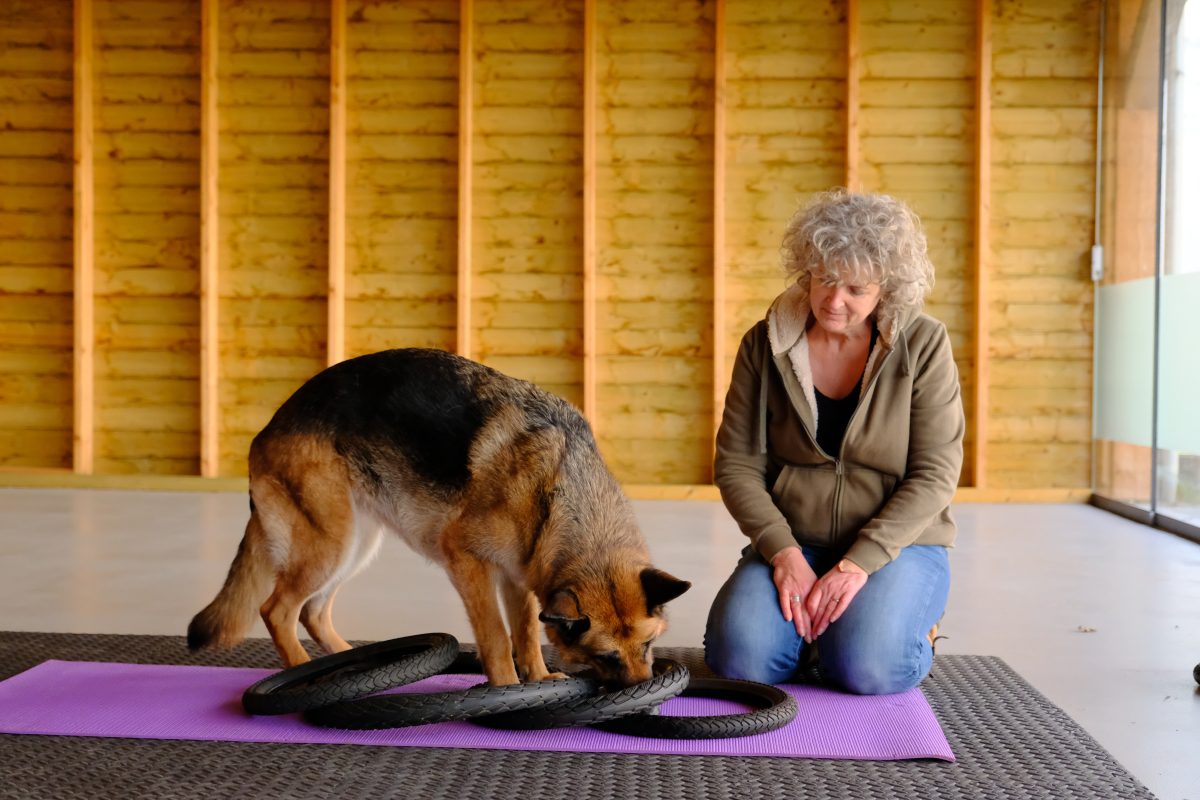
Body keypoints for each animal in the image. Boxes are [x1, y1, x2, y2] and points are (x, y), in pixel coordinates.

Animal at [188, 347, 696, 690]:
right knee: (277, 610)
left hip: (354, 545)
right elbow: (496, 636)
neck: (558, 487)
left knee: (313, 611)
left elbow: (527, 632)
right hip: (329, 543)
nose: (646, 696)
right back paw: (305, 671)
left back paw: (353, 663)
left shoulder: (520, 574)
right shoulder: (468, 562)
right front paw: (508, 688)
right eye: (606, 657)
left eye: (647, 646)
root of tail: (271, 425)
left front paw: (538, 677)